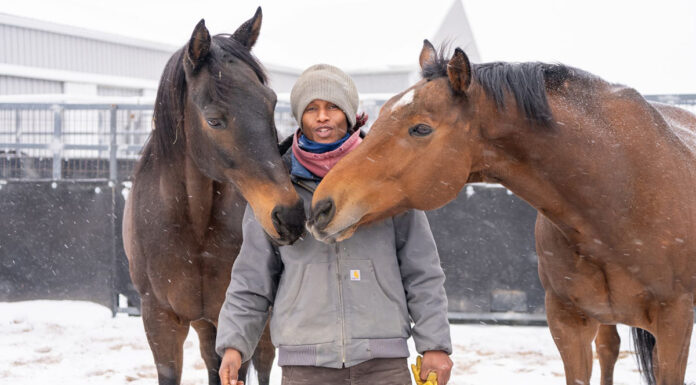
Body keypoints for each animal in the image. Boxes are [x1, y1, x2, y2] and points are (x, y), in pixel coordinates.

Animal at [121, 7, 304, 382]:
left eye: (271, 104)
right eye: (214, 120)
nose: (289, 215)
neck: (193, 221)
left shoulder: (232, 313)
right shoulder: (160, 320)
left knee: (264, 363)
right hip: (205, 324)